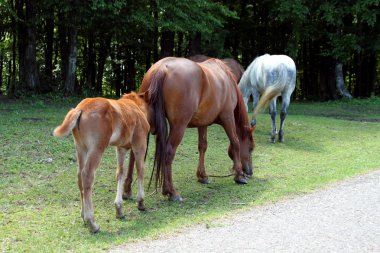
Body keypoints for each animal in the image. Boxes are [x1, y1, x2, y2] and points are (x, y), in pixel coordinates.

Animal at [52, 92, 150, 232]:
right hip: (97, 149)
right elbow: (140, 170)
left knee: (79, 177)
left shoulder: (121, 148)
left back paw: (83, 216)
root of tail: (80, 109)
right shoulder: (140, 144)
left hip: (81, 149)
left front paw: (119, 209)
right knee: (87, 175)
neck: (135, 107)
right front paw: (141, 202)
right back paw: (92, 223)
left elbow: (120, 173)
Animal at [135, 57, 254, 202]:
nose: (250, 172)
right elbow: (235, 142)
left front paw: (202, 176)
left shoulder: (202, 123)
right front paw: (239, 176)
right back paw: (172, 192)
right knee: (168, 153)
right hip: (179, 126)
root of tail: (162, 67)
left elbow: (202, 146)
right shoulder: (228, 117)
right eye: (251, 148)